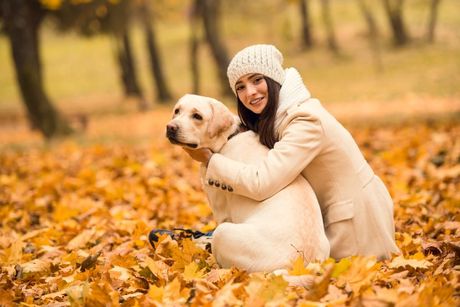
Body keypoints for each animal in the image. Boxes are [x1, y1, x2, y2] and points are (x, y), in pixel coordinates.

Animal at [164, 94, 328, 274]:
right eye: (177, 111)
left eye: (197, 116)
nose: (170, 127)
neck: (227, 139)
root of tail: (298, 265)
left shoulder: (221, 211)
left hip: (224, 232)